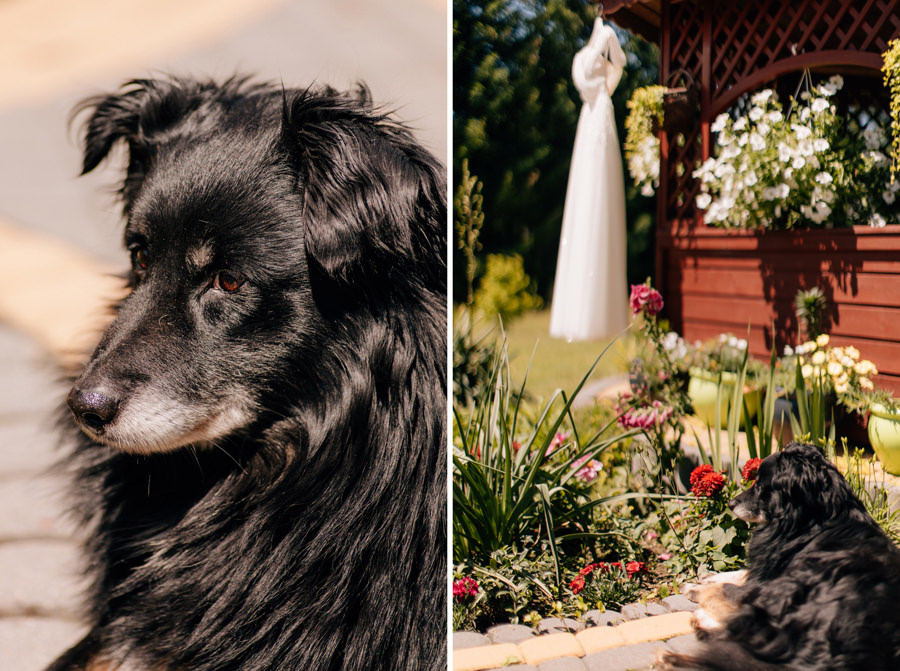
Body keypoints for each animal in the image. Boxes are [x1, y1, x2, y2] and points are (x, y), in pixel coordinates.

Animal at [656, 444, 900, 668]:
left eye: (760, 486)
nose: (731, 504)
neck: (816, 519)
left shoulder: (773, 579)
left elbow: (731, 588)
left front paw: (695, 588)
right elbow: (742, 574)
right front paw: (711, 577)